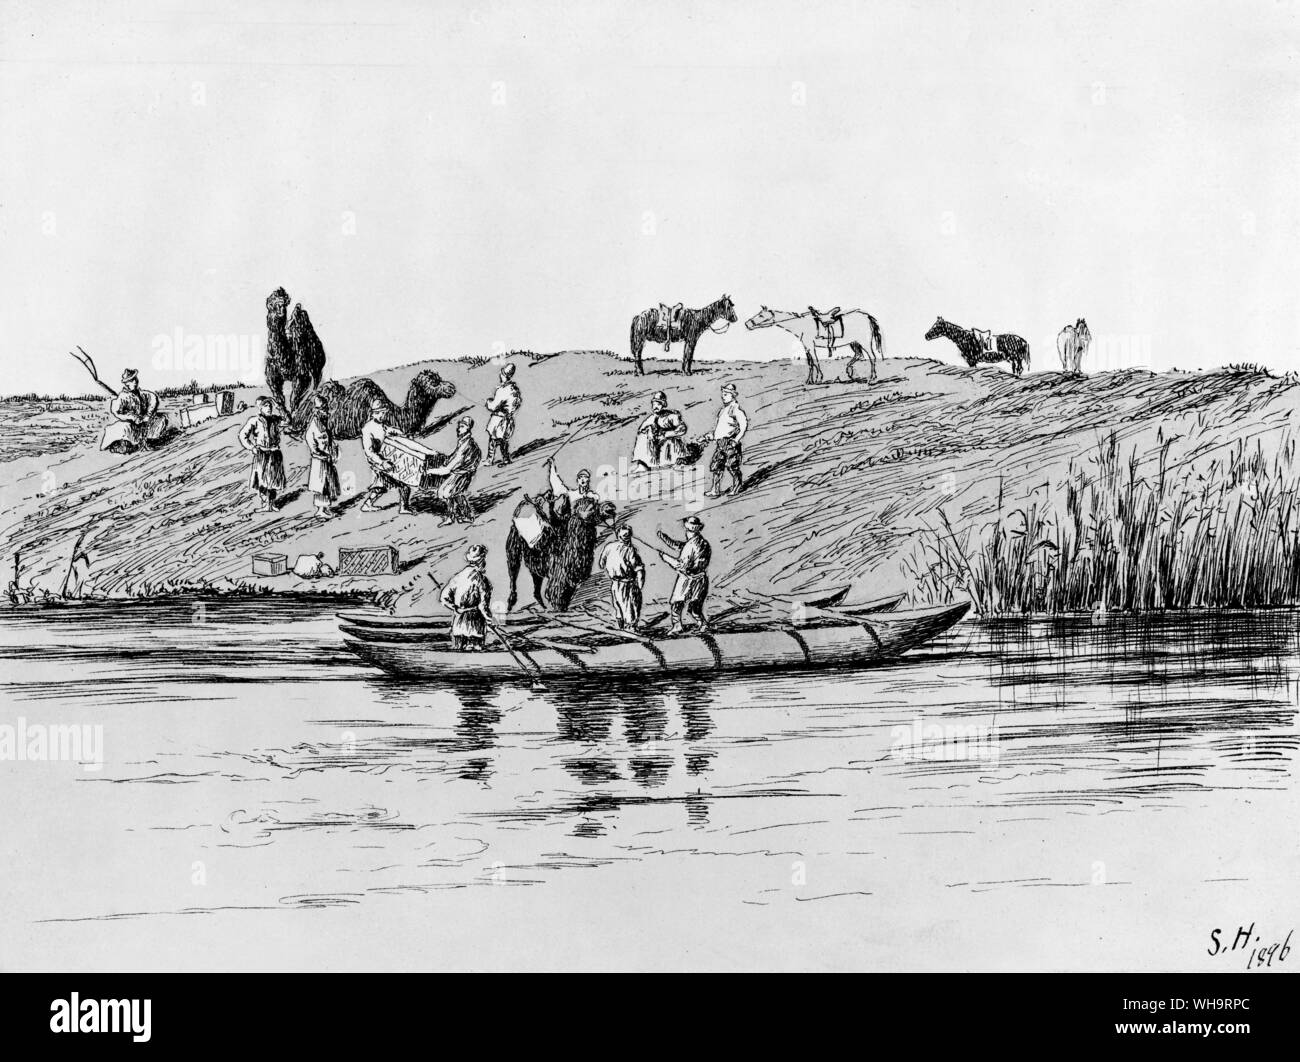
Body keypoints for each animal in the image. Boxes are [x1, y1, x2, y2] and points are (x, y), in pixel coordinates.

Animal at [743, 304, 883, 382]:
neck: (802, 324)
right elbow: (810, 363)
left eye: (761, 316)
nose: (747, 324)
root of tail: (867, 316)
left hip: (864, 342)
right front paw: (809, 380)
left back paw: (872, 378)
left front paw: (818, 378)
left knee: (872, 357)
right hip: (854, 343)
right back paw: (849, 371)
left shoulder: (811, 346)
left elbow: (815, 361)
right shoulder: (807, 347)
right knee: (859, 355)